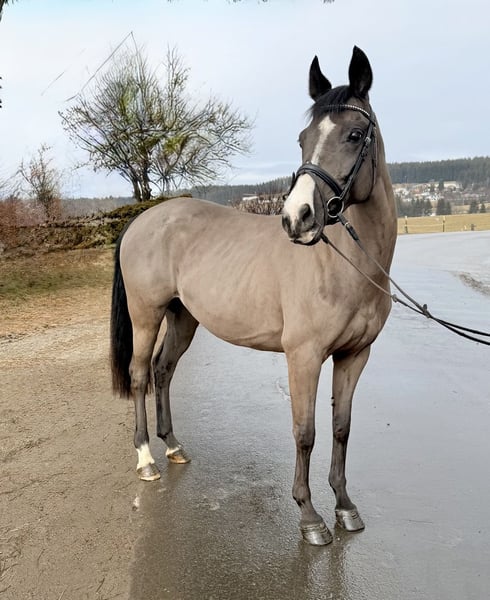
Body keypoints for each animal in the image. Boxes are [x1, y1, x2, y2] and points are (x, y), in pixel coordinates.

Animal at [110, 46, 397, 546]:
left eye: (354, 134)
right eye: (303, 138)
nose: (297, 218)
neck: (347, 264)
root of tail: (142, 220)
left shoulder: (354, 355)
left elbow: (341, 428)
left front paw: (345, 507)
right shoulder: (303, 356)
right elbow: (306, 432)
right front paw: (310, 517)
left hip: (183, 317)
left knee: (164, 370)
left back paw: (174, 446)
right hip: (147, 314)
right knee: (141, 374)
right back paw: (145, 459)